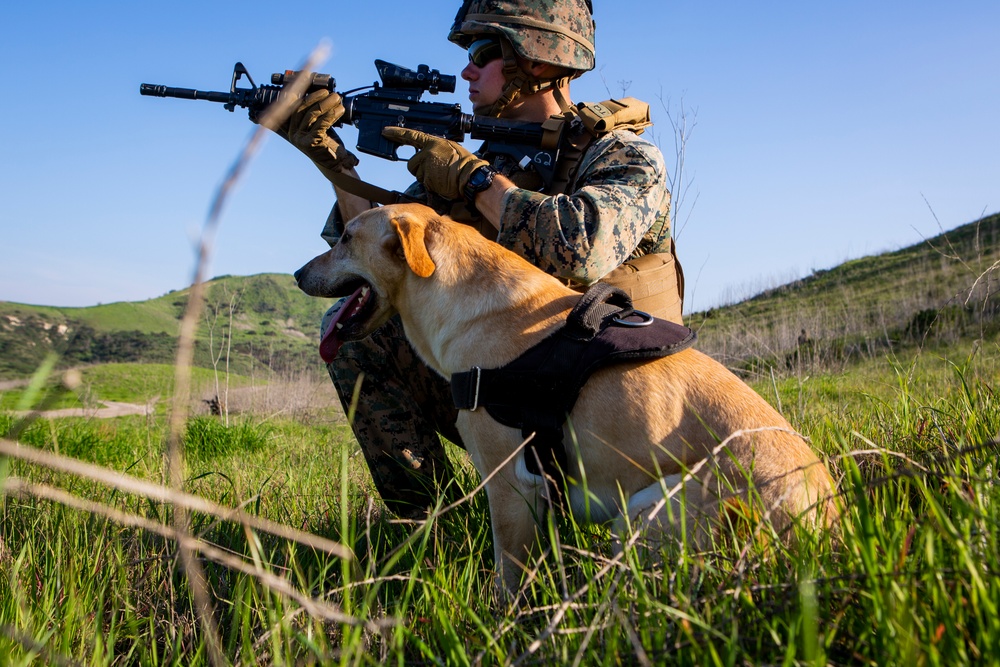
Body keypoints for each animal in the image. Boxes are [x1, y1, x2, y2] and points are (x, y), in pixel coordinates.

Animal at [294, 202, 836, 596]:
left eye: (346, 238)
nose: (297, 273)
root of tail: (827, 530)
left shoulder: (509, 485)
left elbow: (508, 577)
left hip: (648, 512)